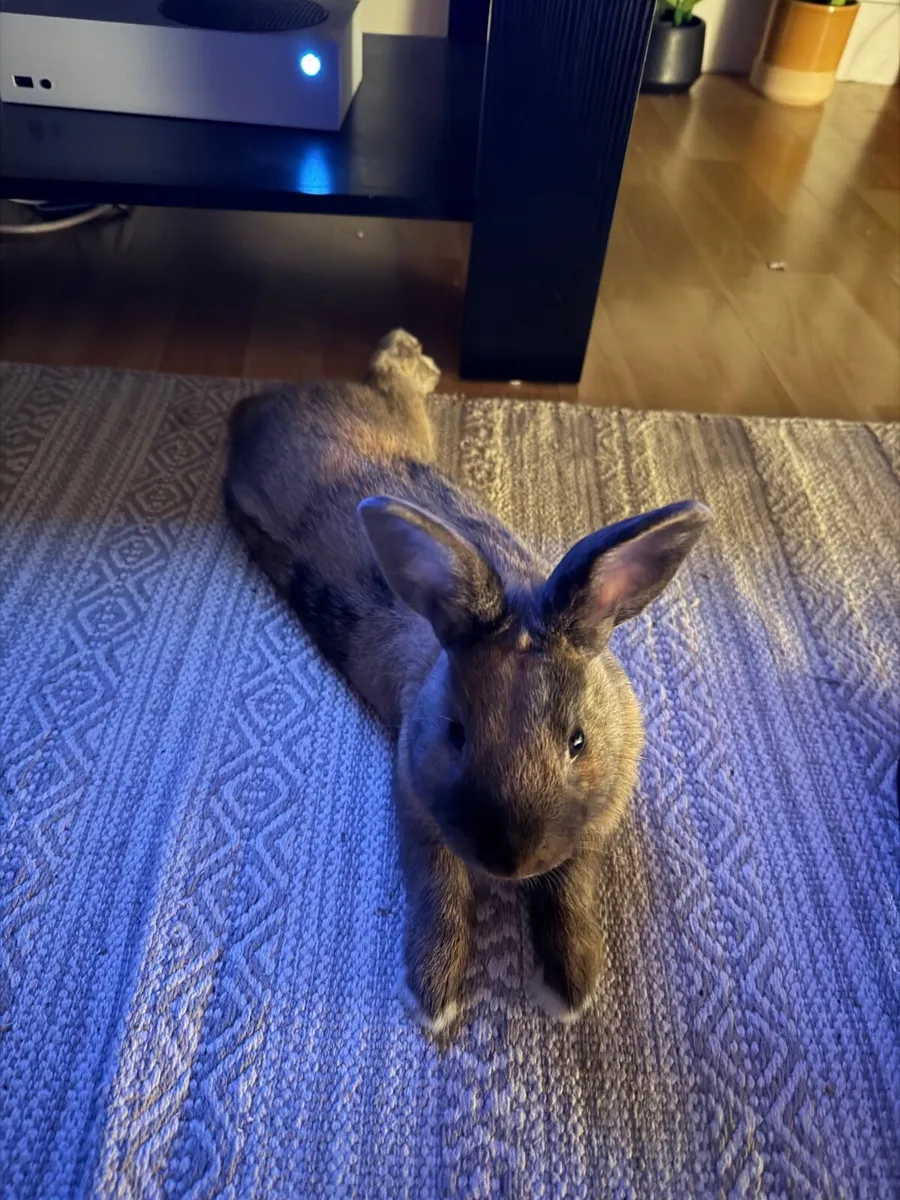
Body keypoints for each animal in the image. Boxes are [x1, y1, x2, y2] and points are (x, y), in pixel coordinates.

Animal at [223, 329, 711, 1033]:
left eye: (579, 742)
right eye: (456, 734)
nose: (510, 861)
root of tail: (259, 406)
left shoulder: (591, 832)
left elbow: (570, 892)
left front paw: (569, 986)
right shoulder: (418, 808)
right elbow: (441, 889)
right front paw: (433, 997)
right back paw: (412, 355)